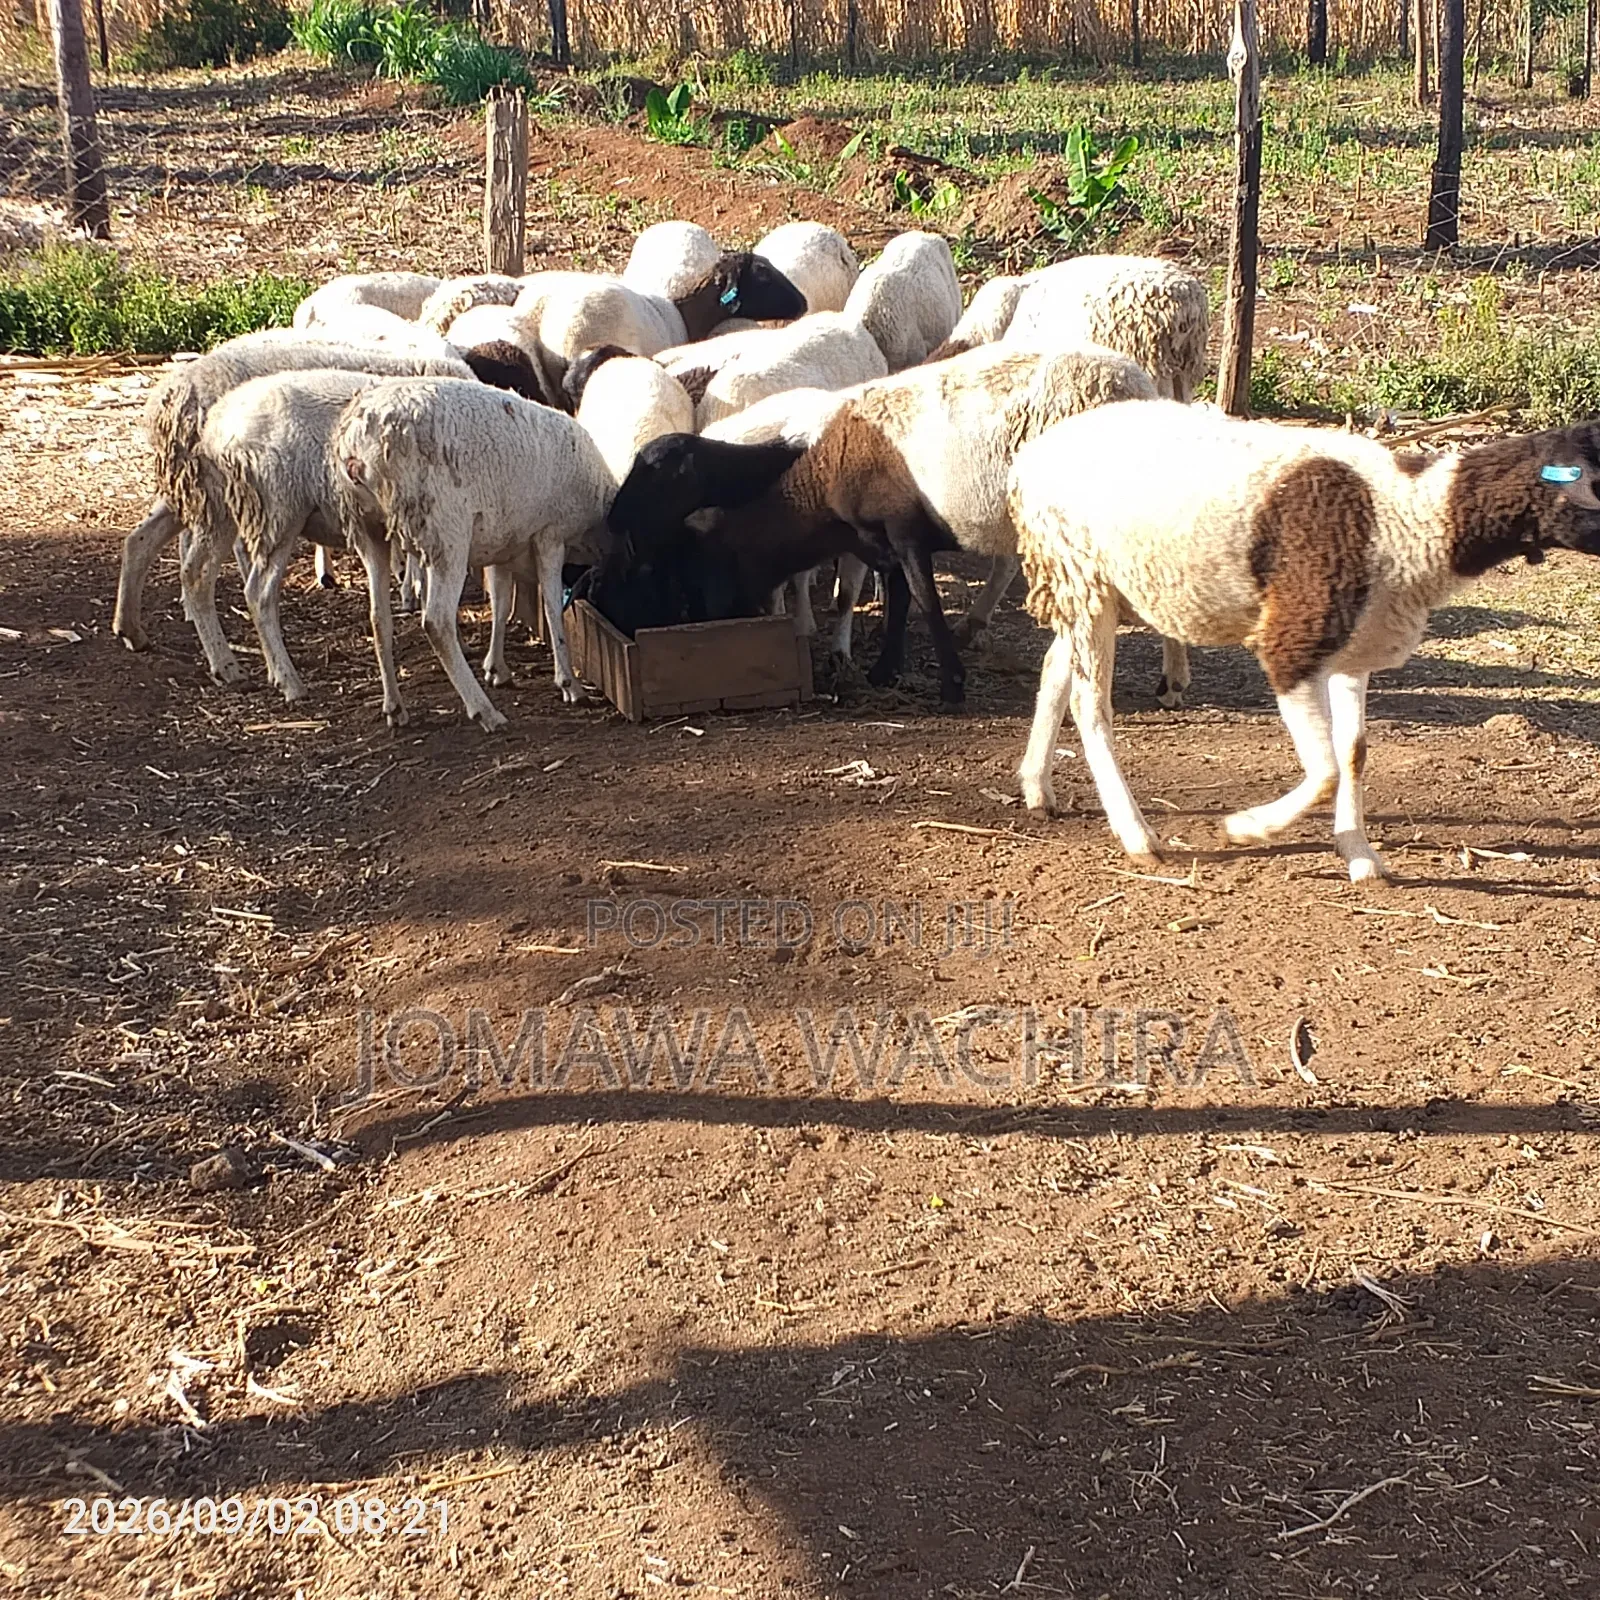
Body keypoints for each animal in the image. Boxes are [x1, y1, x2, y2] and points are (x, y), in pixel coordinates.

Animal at [112, 330, 473, 654]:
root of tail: (168, 398)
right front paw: (416, 594)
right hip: (226, 498)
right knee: (198, 569)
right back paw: (224, 660)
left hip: (193, 487)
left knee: (141, 540)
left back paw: (131, 629)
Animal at [332, 378, 618, 730]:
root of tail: (358, 443)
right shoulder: (550, 537)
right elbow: (551, 607)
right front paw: (569, 684)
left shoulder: (502, 546)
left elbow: (501, 602)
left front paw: (497, 668)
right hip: (445, 529)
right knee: (436, 622)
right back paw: (485, 710)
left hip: (367, 529)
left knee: (378, 617)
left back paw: (395, 707)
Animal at [600, 343, 1157, 699]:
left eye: (655, 473)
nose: (612, 516)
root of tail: (1135, 383)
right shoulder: (877, 541)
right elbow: (898, 597)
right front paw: (885, 668)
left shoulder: (900, 533)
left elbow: (916, 601)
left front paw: (946, 685)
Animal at [1008, 401, 1600, 882]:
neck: (1408, 513)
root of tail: (1032, 454)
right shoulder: (1291, 644)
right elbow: (1326, 771)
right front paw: (1248, 827)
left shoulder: (1353, 651)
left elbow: (1353, 753)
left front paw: (1359, 853)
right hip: (1078, 572)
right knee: (1091, 705)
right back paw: (1137, 836)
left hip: (1099, 588)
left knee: (1055, 666)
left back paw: (1038, 788)